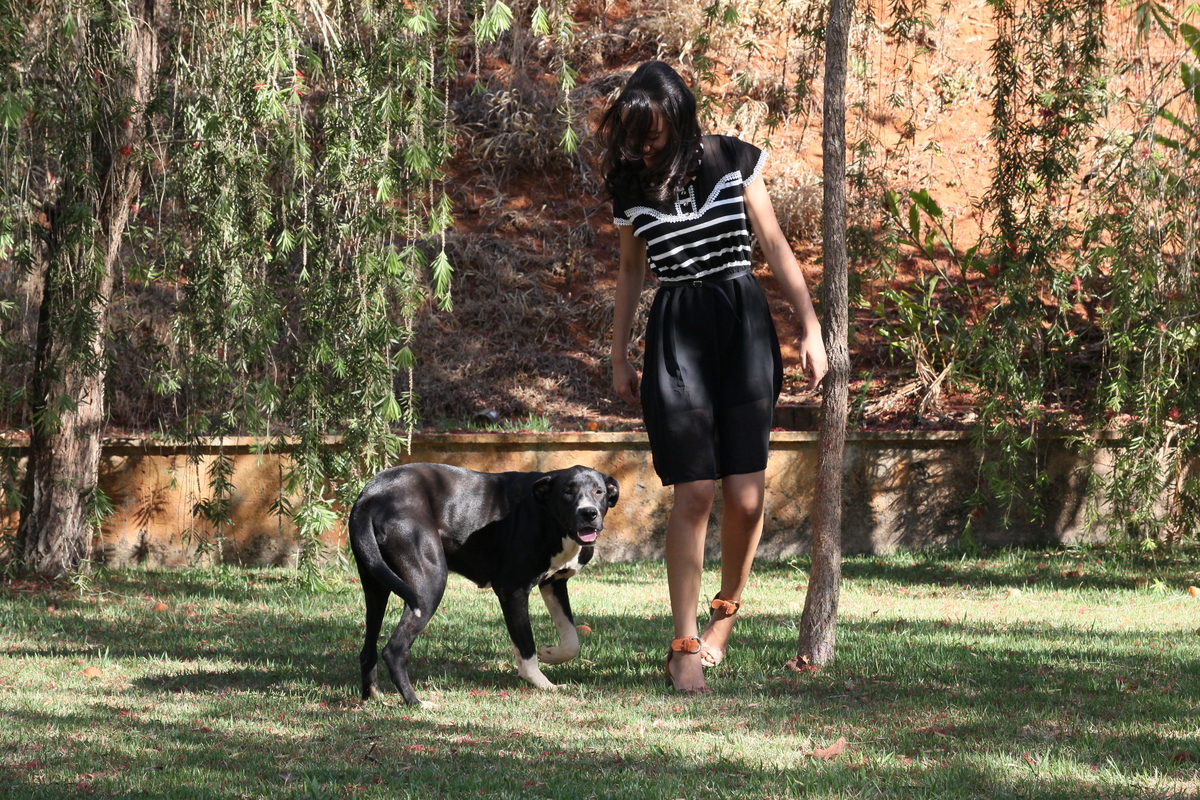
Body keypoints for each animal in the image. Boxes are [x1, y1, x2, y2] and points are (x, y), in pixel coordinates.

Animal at [348, 463, 620, 705]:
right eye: (568, 492)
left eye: (599, 491)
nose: (588, 513)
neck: (549, 516)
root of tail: (370, 496)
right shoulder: (512, 589)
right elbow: (526, 646)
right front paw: (541, 683)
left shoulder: (554, 583)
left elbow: (570, 639)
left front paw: (550, 653)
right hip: (428, 584)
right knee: (394, 649)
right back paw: (415, 702)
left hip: (376, 585)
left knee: (368, 648)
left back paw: (374, 695)